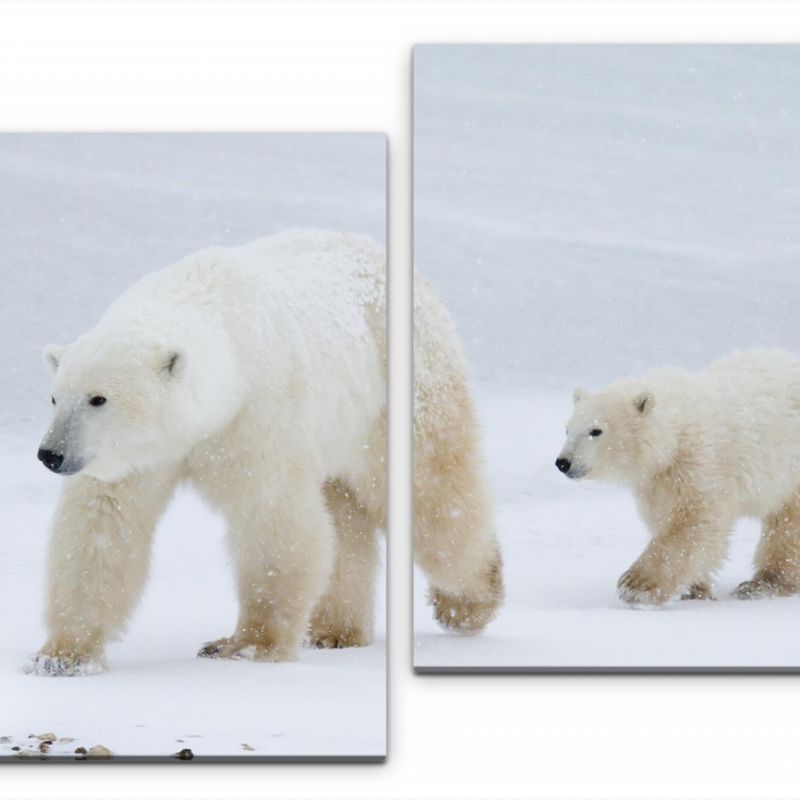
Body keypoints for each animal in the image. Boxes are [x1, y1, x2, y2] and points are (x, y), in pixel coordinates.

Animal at [32, 230, 390, 676]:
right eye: (54, 398)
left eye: (98, 398)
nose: (50, 454)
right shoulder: (139, 455)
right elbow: (103, 524)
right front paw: (62, 656)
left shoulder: (260, 414)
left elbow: (270, 516)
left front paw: (247, 646)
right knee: (344, 515)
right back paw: (336, 632)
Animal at [556, 350, 800, 608]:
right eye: (567, 429)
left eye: (596, 431)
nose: (563, 462)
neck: (675, 431)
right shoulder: (653, 481)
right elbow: (663, 517)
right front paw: (694, 589)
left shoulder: (699, 462)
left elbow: (691, 522)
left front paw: (636, 586)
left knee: (787, 522)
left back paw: (763, 583)